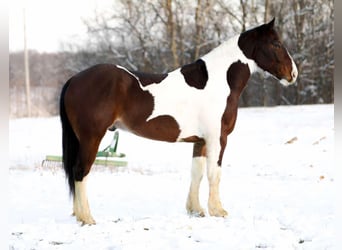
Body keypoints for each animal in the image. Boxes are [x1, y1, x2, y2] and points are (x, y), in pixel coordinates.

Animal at [60, 18, 296, 225]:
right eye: (276, 43)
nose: (293, 74)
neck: (218, 81)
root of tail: (74, 79)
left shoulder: (200, 141)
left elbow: (197, 173)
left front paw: (196, 210)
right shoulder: (217, 138)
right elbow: (214, 173)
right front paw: (218, 210)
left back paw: (79, 215)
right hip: (92, 137)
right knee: (81, 171)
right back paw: (87, 218)